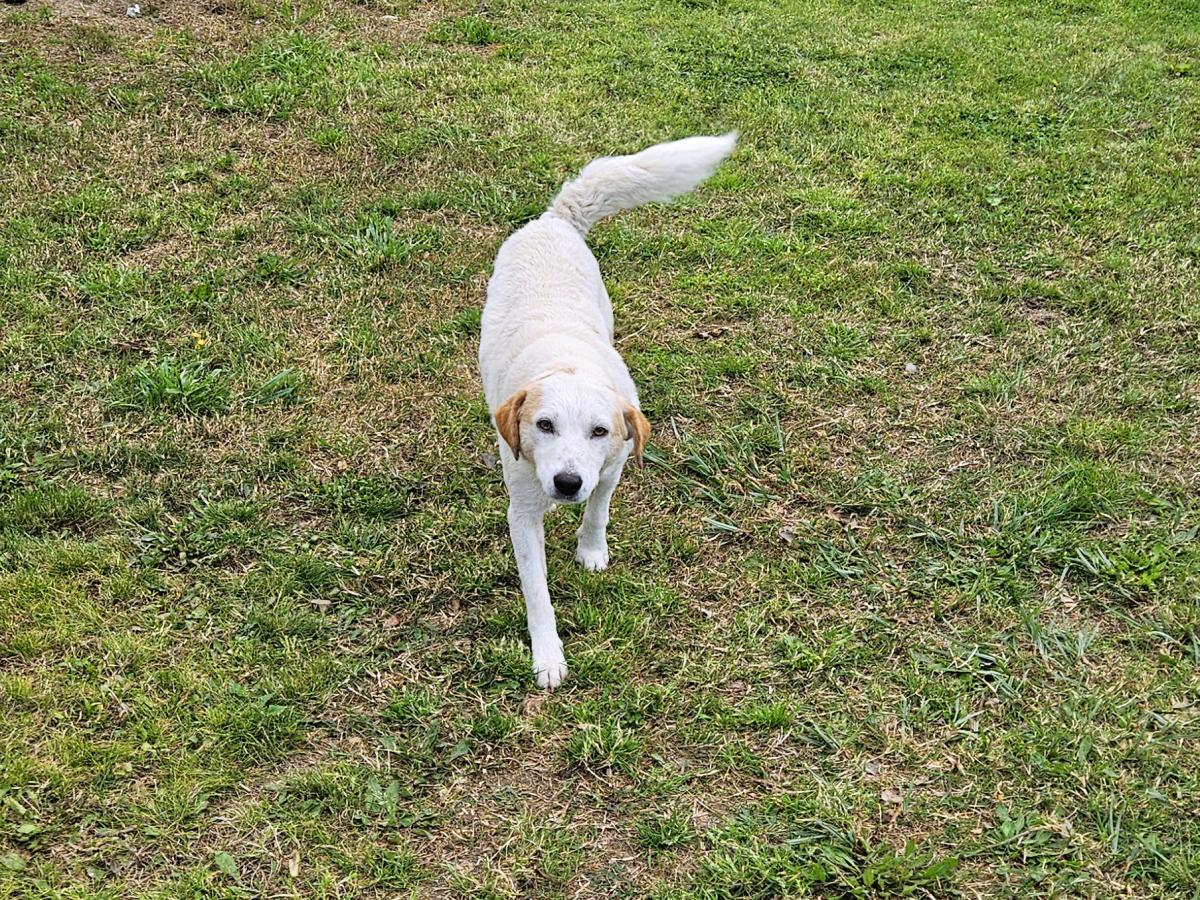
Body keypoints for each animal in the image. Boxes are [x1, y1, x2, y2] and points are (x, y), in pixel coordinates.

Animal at [479, 132, 737, 689]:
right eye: (544, 425)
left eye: (599, 431)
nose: (567, 483)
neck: (568, 364)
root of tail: (555, 219)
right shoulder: (523, 511)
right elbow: (537, 593)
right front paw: (547, 656)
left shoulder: (614, 464)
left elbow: (598, 510)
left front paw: (591, 550)